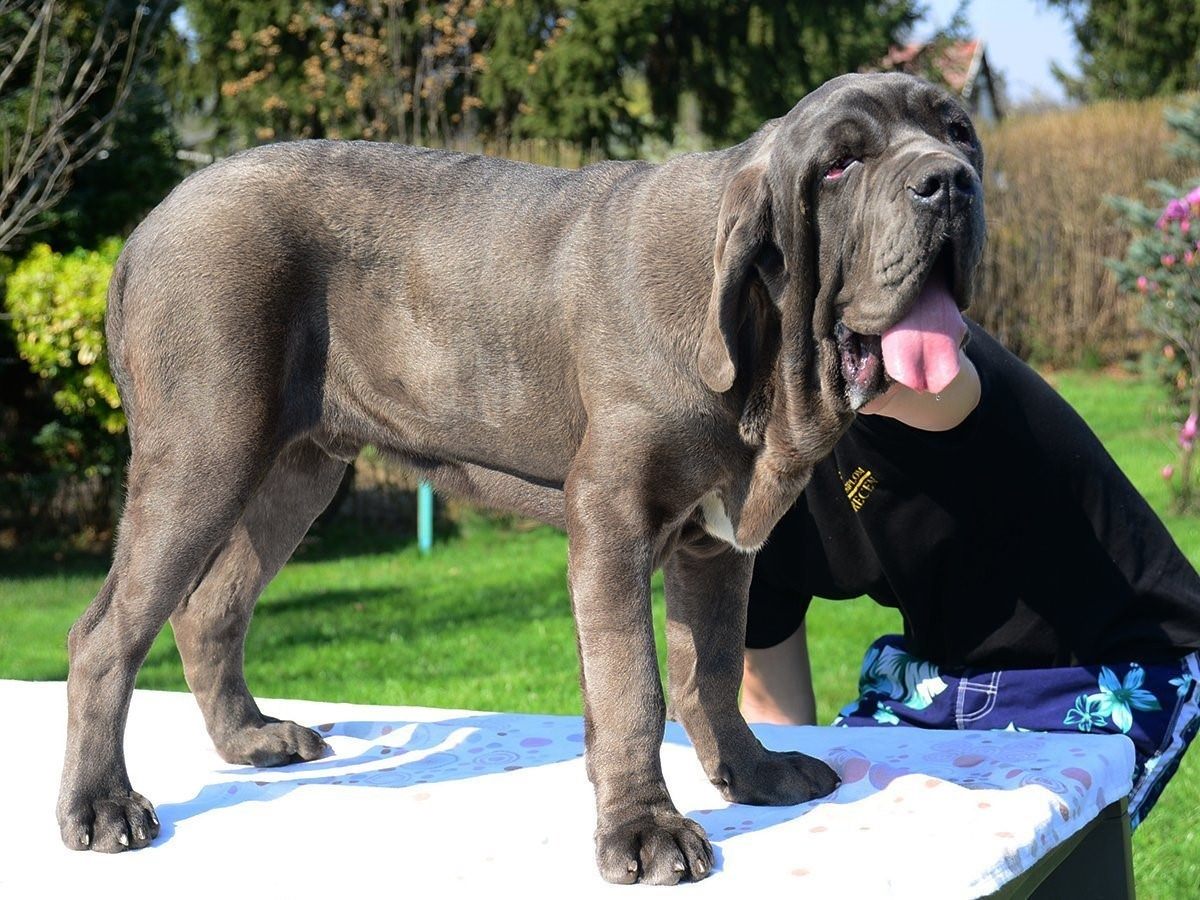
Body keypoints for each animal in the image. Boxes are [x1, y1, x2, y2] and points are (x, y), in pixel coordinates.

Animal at [54, 74, 984, 883]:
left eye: (958, 130)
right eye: (841, 164)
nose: (949, 183)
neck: (760, 333)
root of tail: (152, 222)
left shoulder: (714, 547)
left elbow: (711, 671)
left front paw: (750, 774)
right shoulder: (612, 518)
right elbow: (634, 686)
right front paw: (645, 828)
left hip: (295, 473)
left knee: (210, 609)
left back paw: (249, 740)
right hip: (204, 456)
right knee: (105, 634)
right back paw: (101, 804)